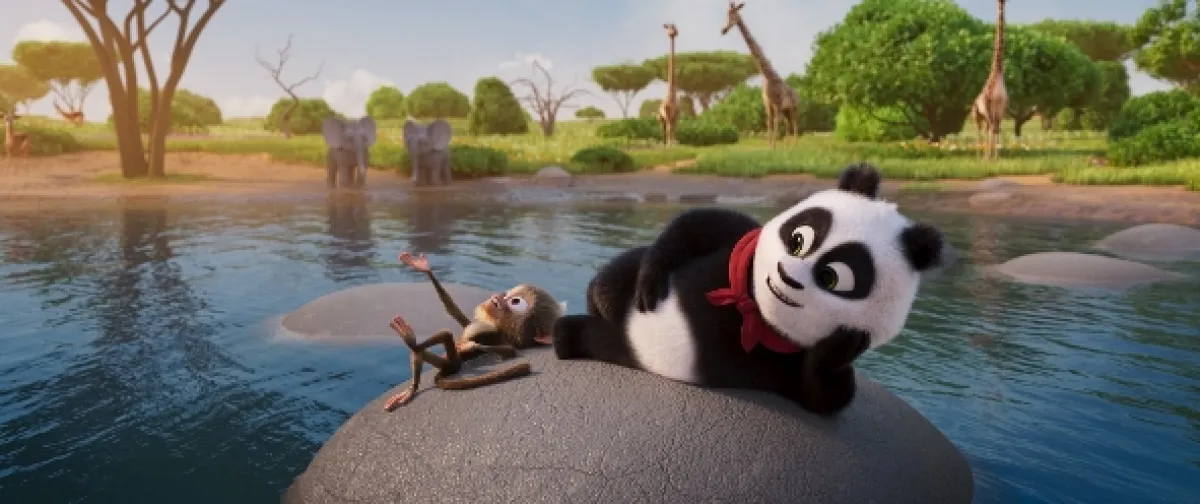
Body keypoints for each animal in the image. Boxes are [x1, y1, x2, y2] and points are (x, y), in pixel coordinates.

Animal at [551, 163, 945, 416]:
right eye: (798, 240)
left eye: (832, 277)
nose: (788, 276)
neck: (753, 308)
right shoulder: (740, 246)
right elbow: (699, 225)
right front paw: (647, 282)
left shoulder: (793, 366)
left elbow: (823, 394)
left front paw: (842, 345)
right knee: (615, 281)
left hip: (622, 347)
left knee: (598, 338)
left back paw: (566, 336)